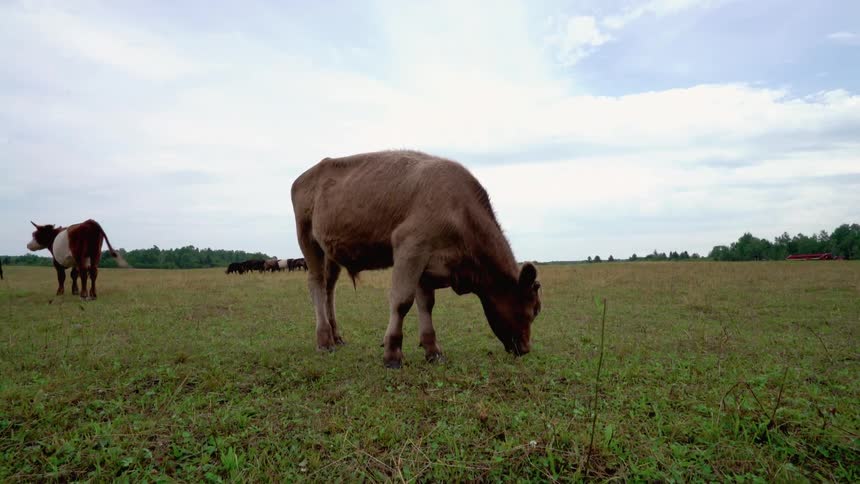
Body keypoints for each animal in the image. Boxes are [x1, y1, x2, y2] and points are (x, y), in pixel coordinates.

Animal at [291, 150, 541, 368]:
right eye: (534, 310)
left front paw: (433, 351)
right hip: (307, 239)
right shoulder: (410, 246)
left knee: (329, 289)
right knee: (316, 284)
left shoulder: (426, 263)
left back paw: (336, 336)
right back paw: (324, 340)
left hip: (330, 253)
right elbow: (402, 301)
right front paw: (392, 354)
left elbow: (426, 304)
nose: (526, 349)